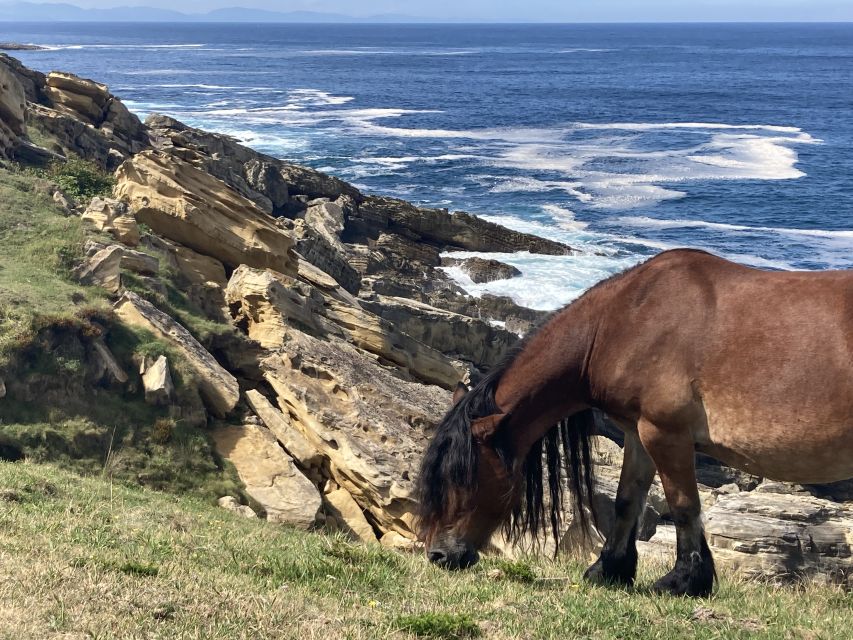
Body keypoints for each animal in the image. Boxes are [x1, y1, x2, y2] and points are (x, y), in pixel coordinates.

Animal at [414, 249, 852, 596]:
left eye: (462, 477)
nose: (439, 554)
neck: (626, 320)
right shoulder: (637, 433)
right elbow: (628, 501)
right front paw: (608, 569)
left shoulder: (665, 433)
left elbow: (684, 505)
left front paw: (684, 581)